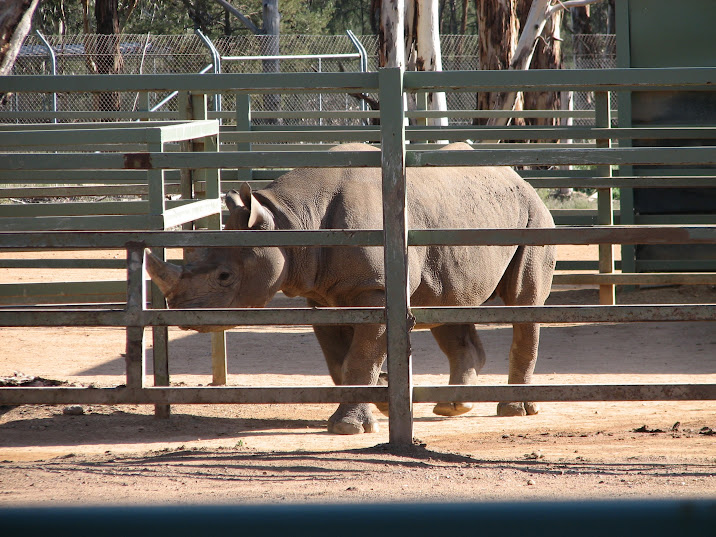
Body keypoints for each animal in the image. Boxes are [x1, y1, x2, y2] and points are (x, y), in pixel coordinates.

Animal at [146, 142, 556, 435]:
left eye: (224, 277)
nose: (180, 312)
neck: (289, 219)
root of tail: (519, 177)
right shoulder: (319, 295)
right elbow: (338, 361)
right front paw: (383, 400)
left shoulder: (374, 290)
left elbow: (359, 356)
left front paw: (348, 426)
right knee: (447, 304)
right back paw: (454, 406)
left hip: (533, 216)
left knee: (524, 302)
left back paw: (514, 409)